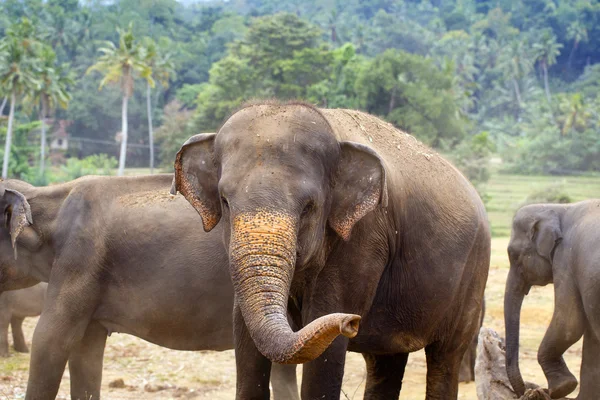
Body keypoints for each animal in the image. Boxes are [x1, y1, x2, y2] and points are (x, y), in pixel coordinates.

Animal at [171, 101, 490, 400]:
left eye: (308, 207)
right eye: (225, 202)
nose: (352, 322)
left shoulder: (364, 237)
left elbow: (325, 332)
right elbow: (245, 336)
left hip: (473, 276)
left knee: (445, 357)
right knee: (386, 360)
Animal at [506, 202, 600, 398]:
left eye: (513, 255)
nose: (530, 390)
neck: (559, 209)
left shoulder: (565, 260)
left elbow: (569, 322)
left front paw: (562, 388)